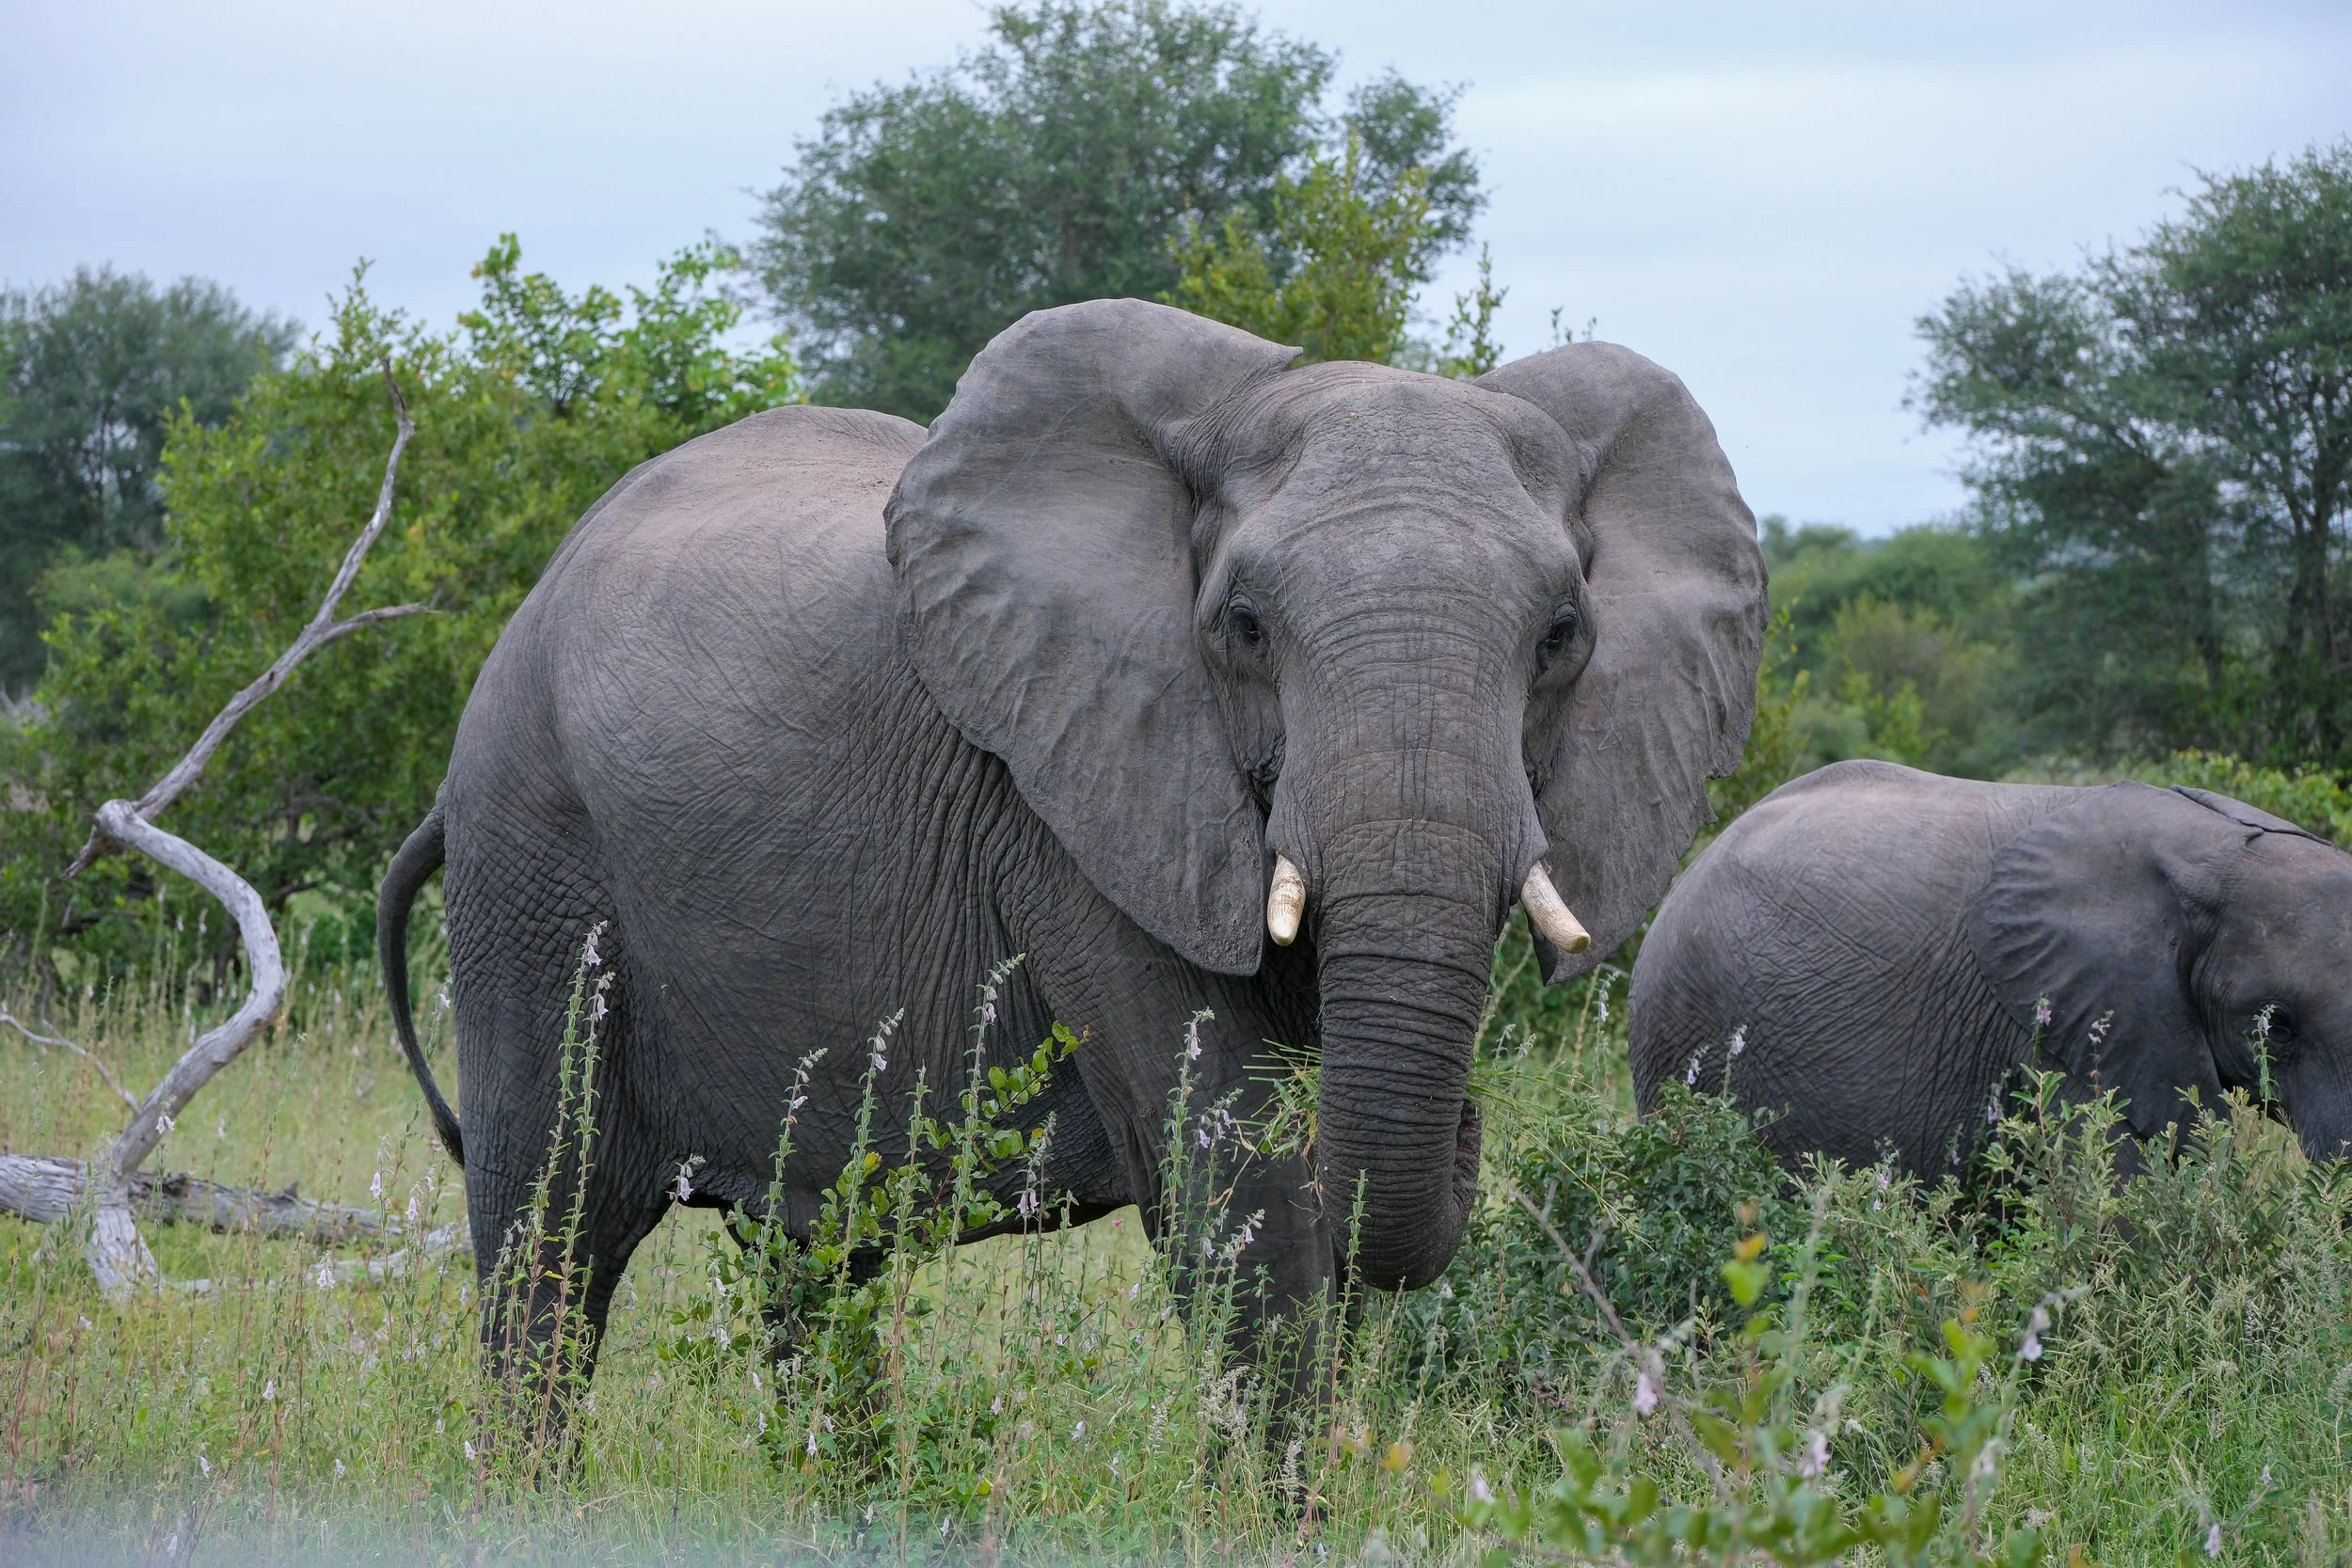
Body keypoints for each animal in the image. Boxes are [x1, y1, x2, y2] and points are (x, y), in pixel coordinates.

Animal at [378, 297, 1766, 1408]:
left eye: (1562, 636)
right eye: (1242, 625)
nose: (1480, 1115)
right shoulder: (1064, 811)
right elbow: (1245, 1193)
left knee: (813, 1264)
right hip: (532, 869)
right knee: (548, 1239)